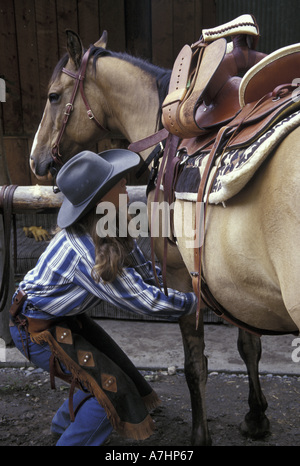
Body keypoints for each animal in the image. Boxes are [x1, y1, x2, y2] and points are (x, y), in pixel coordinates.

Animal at [29, 23, 300, 446]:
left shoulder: (181, 276)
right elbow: (248, 345)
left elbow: (194, 365)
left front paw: (200, 436)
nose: (36, 159)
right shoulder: (238, 282)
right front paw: (256, 417)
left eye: (54, 96)